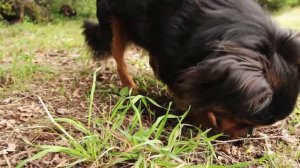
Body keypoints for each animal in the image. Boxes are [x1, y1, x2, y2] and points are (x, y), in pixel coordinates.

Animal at [83, 0, 300, 138]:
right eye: (246, 121)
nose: (246, 136)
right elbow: (191, 98)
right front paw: (207, 125)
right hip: (115, 23)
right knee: (120, 59)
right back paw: (131, 89)